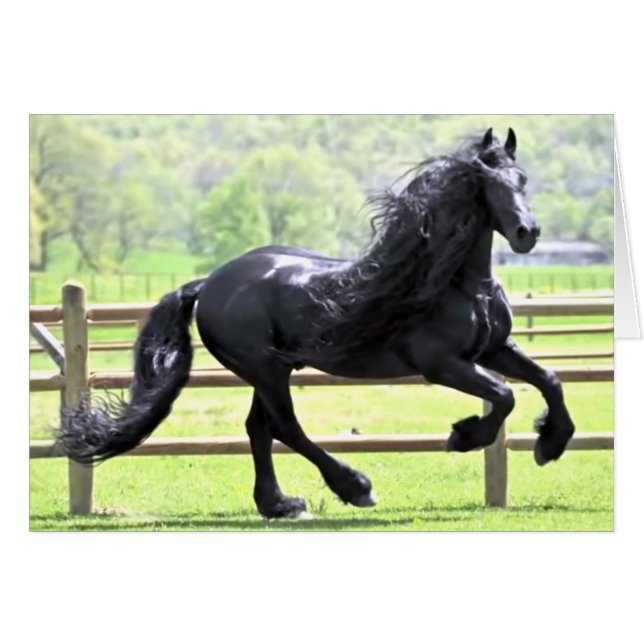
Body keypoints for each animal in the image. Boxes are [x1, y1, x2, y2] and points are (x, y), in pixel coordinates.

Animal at [57, 128, 576, 519]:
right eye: (488, 182)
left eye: (521, 178)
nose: (528, 234)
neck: (459, 285)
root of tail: (209, 284)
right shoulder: (443, 365)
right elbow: (505, 396)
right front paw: (464, 436)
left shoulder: (493, 349)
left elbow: (548, 380)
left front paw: (551, 443)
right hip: (265, 369)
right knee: (286, 428)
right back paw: (355, 487)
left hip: (271, 371)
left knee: (258, 428)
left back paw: (280, 505)